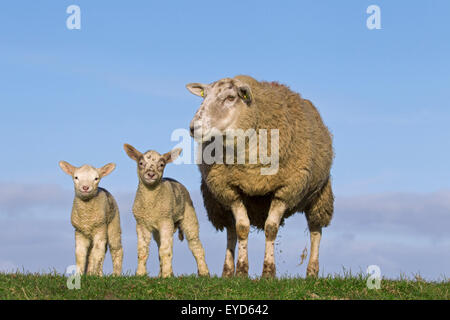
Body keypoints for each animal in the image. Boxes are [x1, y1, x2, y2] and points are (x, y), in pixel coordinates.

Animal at [124, 144, 210, 276]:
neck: (150, 205)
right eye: (141, 163)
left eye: (161, 164)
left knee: (195, 244)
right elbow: (142, 251)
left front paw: (166, 275)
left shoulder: (165, 221)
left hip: (189, 217)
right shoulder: (141, 223)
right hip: (160, 229)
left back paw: (204, 272)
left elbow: (165, 251)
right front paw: (140, 274)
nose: (150, 174)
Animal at [186, 75, 334, 278]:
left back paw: (312, 272)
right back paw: (227, 271)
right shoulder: (230, 190)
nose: (193, 128)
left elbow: (271, 229)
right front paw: (241, 271)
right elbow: (241, 228)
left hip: (319, 194)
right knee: (231, 230)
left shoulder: (285, 190)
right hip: (217, 200)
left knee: (315, 230)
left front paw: (268, 272)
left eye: (231, 97)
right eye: (204, 96)